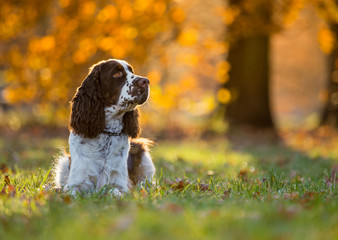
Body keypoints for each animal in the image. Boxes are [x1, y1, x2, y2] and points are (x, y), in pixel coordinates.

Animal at [53, 59, 155, 196]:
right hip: (64, 163)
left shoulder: (120, 183)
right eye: (116, 74)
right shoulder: (76, 183)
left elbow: (115, 191)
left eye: (131, 72)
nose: (146, 81)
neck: (107, 133)